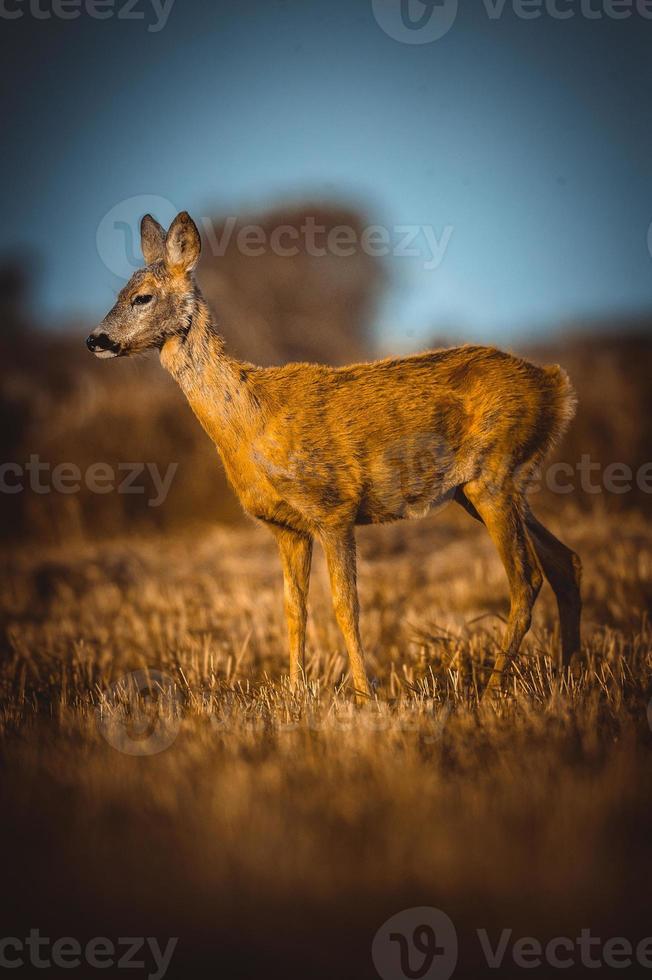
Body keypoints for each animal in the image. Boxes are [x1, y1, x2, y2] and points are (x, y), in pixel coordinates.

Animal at [85, 209, 580, 696]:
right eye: (119, 292)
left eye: (143, 297)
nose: (96, 339)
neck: (253, 422)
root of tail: (555, 387)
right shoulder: (286, 526)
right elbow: (292, 608)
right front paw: (295, 693)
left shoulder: (334, 507)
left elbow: (346, 605)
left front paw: (364, 695)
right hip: (488, 487)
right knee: (564, 561)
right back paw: (567, 675)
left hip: (492, 475)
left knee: (526, 579)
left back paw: (493, 690)